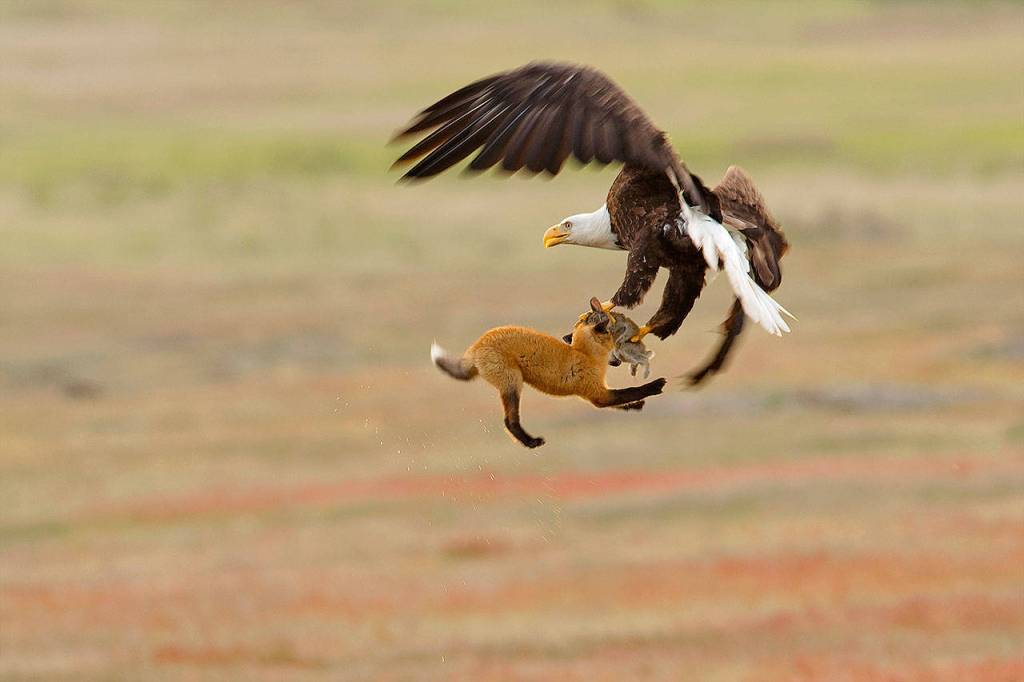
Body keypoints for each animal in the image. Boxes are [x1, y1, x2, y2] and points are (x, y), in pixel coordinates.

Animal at [430, 297, 667, 448]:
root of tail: (476, 345)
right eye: (614, 339)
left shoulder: (598, 393)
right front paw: (655, 386)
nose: (617, 360)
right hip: (513, 383)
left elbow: (621, 401)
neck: (584, 354)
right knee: (509, 421)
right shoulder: (596, 394)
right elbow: (630, 391)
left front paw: (635, 406)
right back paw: (531, 442)